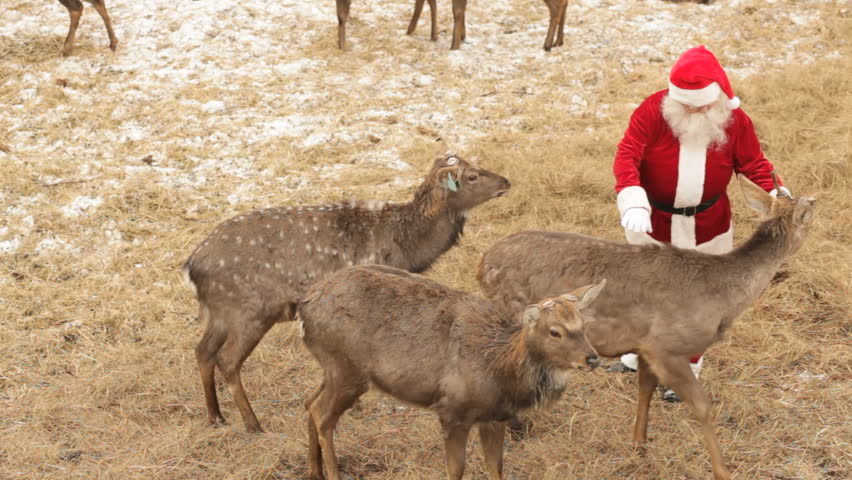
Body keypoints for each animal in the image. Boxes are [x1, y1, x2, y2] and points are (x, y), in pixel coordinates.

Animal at [183, 154, 511, 433]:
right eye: (472, 176)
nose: (506, 182)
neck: (406, 246)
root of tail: (191, 267)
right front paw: (358, 407)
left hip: (220, 313)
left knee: (203, 351)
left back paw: (216, 416)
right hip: (251, 310)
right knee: (227, 359)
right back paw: (253, 424)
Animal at [299, 264, 605, 480]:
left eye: (584, 325)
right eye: (554, 331)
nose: (592, 358)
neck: (499, 370)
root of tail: (305, 307)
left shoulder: (494, 417)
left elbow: (496, 467)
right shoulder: (452, 410)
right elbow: (456, 470)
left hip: (332, 368)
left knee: (309, 401)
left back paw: (314, 471)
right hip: (348, 369)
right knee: (322, 415)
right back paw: (331, 473)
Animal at [476, 175, 815, 480]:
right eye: (809, 218)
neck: (721, 297)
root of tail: (482, 266)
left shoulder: (644, 345)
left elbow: (645, 389)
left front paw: (639, 444)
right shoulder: (666, 346)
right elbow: (703, 407)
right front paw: (723, 471)